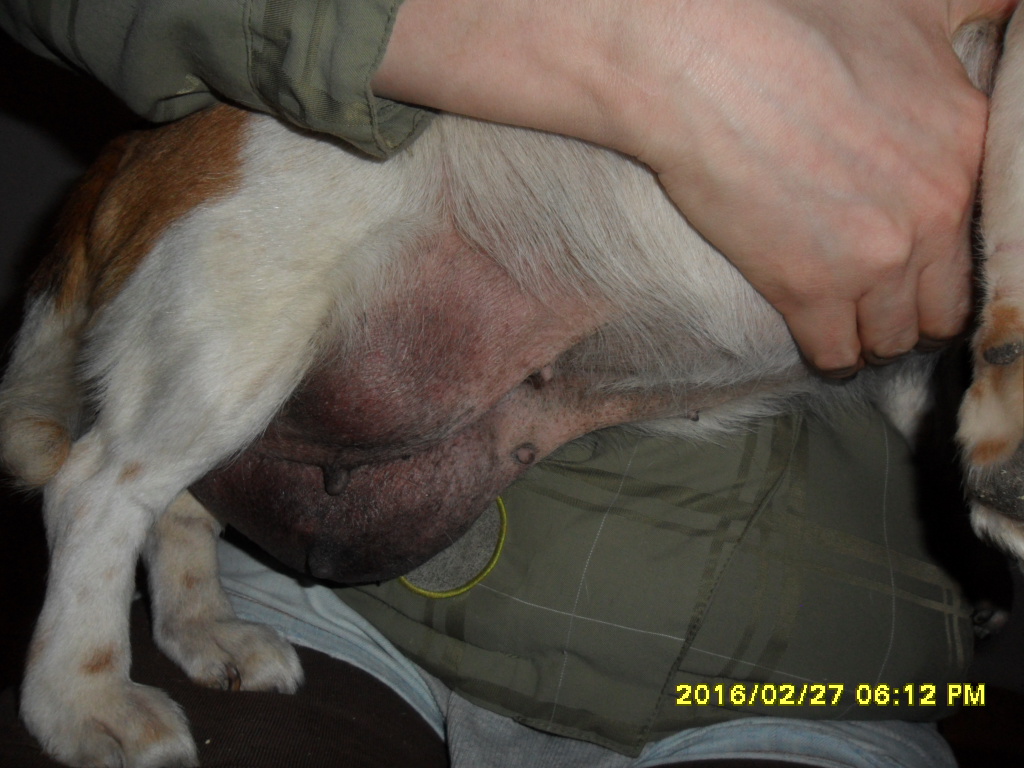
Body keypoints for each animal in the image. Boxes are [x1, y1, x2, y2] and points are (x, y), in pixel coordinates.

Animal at [0, 17, 1021, 768]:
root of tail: (134, 145)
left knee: (175, 509)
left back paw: (208, 632)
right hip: (238, 331)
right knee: (97, 492)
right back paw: (84, 702)